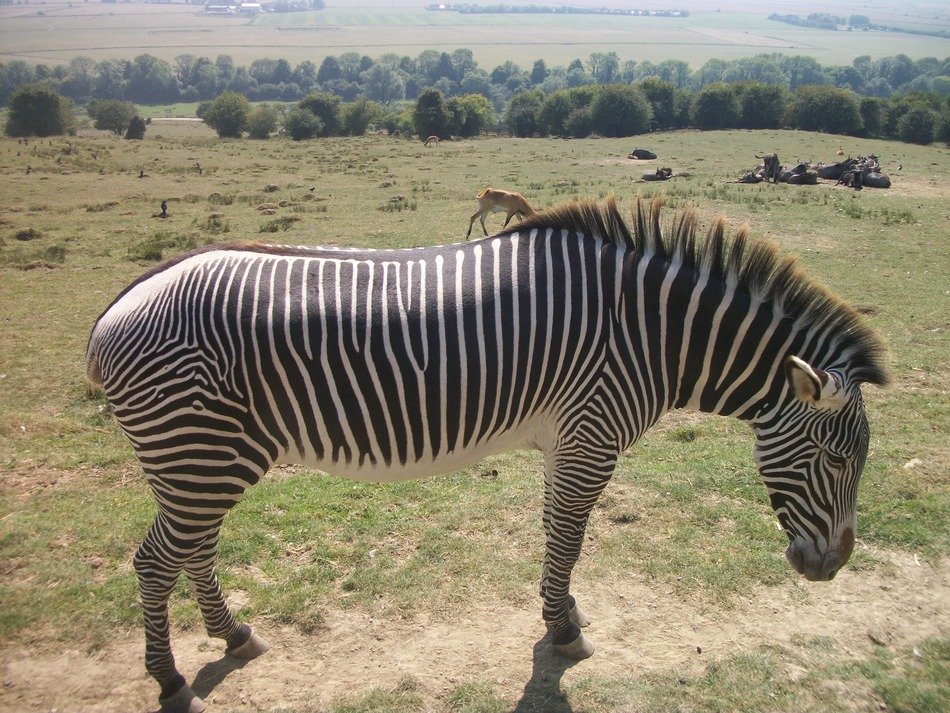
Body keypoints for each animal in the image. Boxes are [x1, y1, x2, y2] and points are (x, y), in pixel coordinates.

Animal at [86, 197, 887, 712]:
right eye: (836, 460)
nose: (835, 566)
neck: (652, 333)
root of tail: (119, 305)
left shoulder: (568, 437)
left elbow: (555, 530)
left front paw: (561, 610)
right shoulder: (593, 433)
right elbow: (570, 534)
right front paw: (562, 629)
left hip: (199, 461)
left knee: (192, 550)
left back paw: (234, 635)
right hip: (202, 453)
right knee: (155, 560)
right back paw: (169, 678)